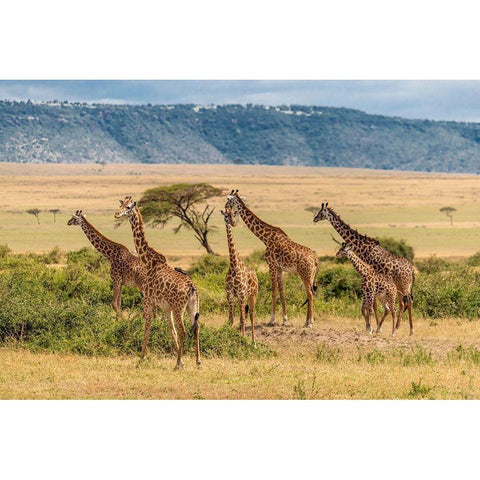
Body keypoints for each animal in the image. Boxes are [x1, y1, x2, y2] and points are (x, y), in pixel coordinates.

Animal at [114, 195, 201, 372]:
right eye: (121, 204)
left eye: (128, 207)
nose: (116, 214)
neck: (147, 260)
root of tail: (192, 287)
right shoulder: (165, 308)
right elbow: (171, 331)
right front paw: (182, 361)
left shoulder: (147, 299)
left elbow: (147, 328)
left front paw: (141, 359)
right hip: (192, 306)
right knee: (196, 328)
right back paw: (198, 362)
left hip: (179, 307)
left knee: (184, 330)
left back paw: (177, 365)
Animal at [221, 204, 258, 344]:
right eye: (226, 215)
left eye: (233, 214)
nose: (233, 222)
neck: (233, 266)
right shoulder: (230, 294)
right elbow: (231, 319)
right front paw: (230, 337)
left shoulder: (242, 294)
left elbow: (242, 318)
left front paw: (242, 338)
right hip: (242, 298)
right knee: (245, 315)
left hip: (253, 295)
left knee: (251, 315)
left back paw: (253, 341)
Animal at [224, 189, 318, 328]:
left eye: (228, 203)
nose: (231, 219)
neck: (265, 238)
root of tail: (316, 260)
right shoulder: (279, 268)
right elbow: (282, 292)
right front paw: (284, 319)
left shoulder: (271, 265)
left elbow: (273, 291)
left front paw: (272, 319)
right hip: (310, 275)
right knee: (309, 292)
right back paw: (306, 321)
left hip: (304, 273)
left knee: (310, 293)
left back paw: (310, 323)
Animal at [314, 202, 414, 334]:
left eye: (320, 212)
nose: (314, 219)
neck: (361, 246)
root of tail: (412, 270)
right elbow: (372, 305)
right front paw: (375, 327)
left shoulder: (372, 278)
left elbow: (373, 305)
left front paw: (374, 327)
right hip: (402, 286)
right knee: (404, 303)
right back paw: (399, 328)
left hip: (403, 285)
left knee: (407, 302)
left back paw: (408, 330)